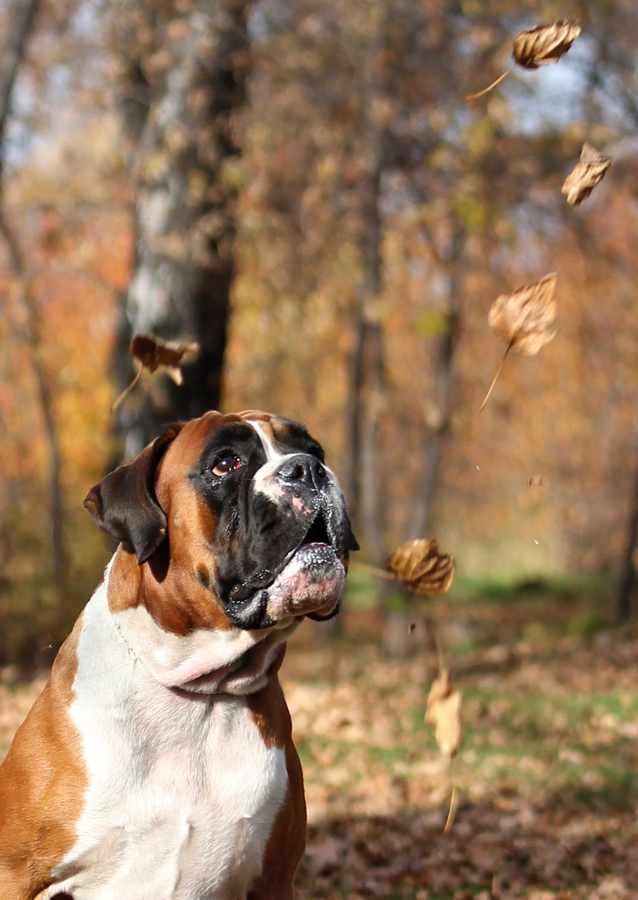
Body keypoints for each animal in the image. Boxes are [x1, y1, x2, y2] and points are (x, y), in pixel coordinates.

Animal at [0, 410, 360, 900]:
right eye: (224, 464)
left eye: (314, 450)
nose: (308, 469)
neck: (197, 691)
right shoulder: (15, 874)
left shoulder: (273, 880)